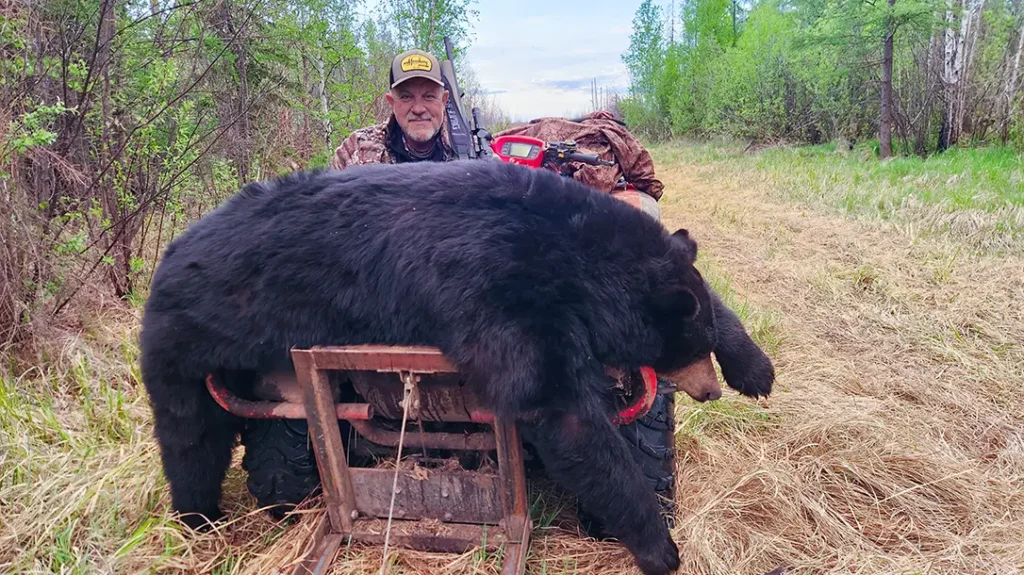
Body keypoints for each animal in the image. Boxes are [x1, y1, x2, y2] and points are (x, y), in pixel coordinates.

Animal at [138, 158, 774, 575]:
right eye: (683, 353)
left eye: (699, 345)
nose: (711, 393)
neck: (574, 255)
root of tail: (168, 254)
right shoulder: (496, 290)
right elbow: (563, 414)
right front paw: (661, 547)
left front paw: (756, 370)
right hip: (188, 338)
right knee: (189, 434)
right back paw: (198, 517)